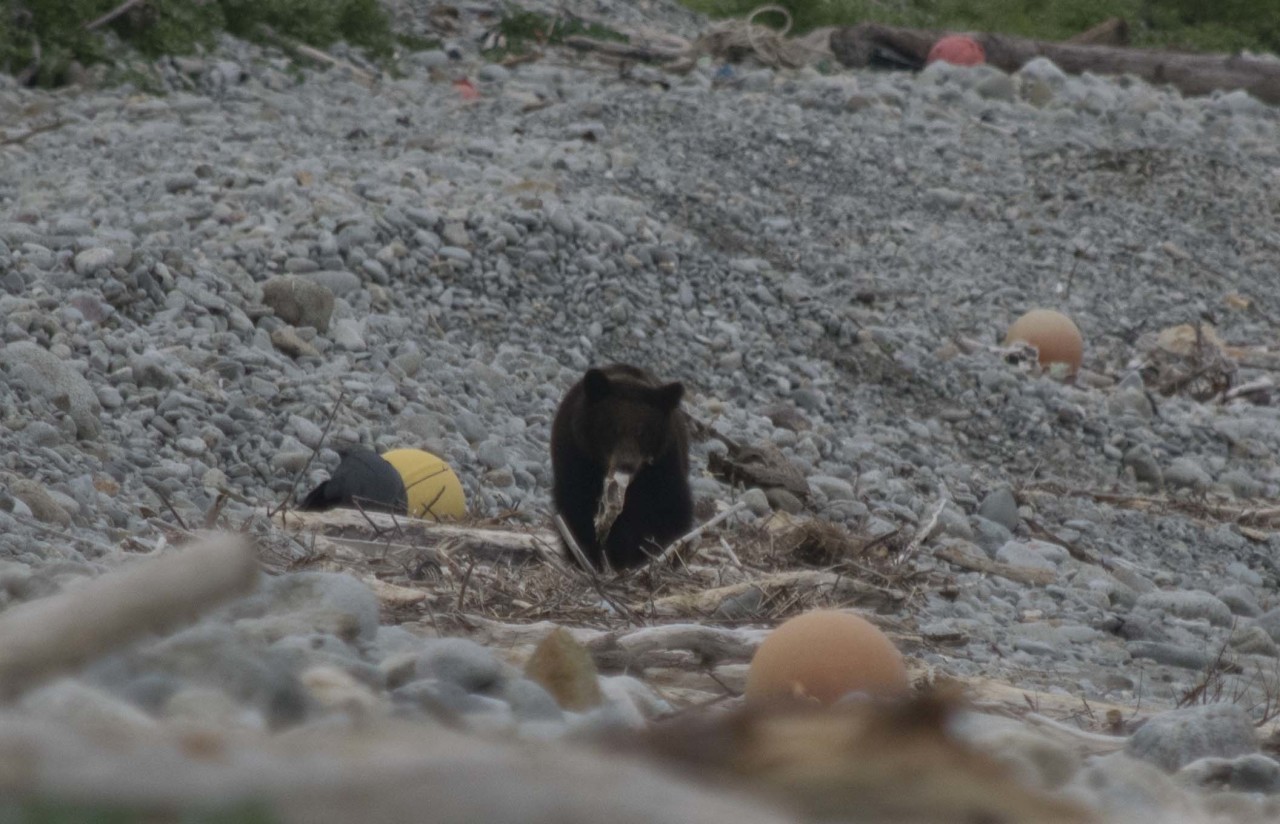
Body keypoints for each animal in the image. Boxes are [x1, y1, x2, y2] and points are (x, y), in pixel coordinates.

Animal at [547, 363, 691, 570]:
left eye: (643, 432)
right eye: (612, 428)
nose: (626, 464)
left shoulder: (664, 466)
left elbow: (672, 509)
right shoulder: (576, 459)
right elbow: (575, 509)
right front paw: (590, 557)